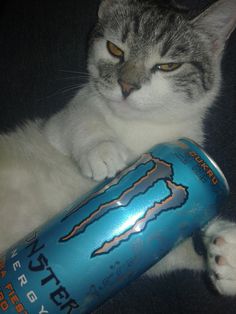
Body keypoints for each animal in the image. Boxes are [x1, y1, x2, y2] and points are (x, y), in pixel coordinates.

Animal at [0, 0, 236, 298]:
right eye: (115, 49)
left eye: (168, 65)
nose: (127, 85)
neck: (139, 127)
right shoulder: (54, 127)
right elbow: (80, 117)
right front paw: (102, 151)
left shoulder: (152, 248)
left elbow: (163, 247)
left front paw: (226, 258)